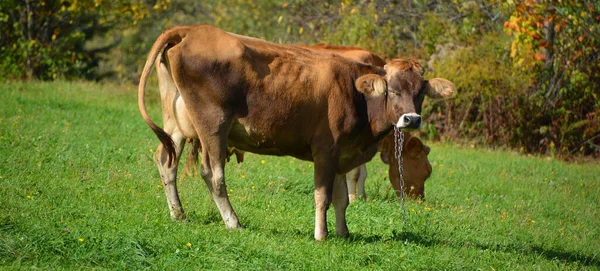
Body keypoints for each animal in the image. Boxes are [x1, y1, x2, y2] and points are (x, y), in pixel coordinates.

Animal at [137, 24, 454, 241]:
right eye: (392, 89)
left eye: (421, 91)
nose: (411, 119)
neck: (357, 94)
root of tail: (191, 30)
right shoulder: (326, 149)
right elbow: (323, 195)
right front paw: (321, 235)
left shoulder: (343, 153)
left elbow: (341, 197)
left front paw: (344, 233)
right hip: (213, 124)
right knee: (213, 174)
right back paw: (233, 222)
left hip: (176, 123)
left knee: (166, 161)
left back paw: (178, 214)